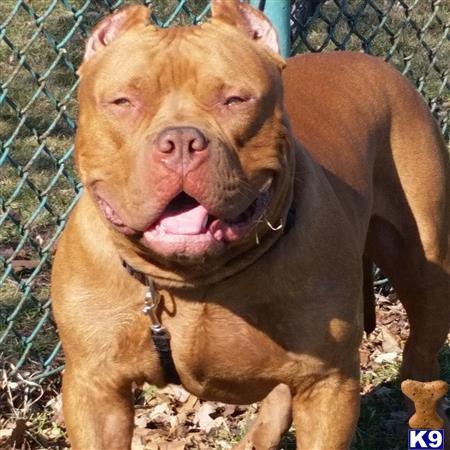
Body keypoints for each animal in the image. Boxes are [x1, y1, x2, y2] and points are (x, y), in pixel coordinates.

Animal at [52, 1, 450, 448]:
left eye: (235, 100)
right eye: (122, 101)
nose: (181, 142)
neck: (194, 280)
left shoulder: (329, 385)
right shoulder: (96, 389)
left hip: (425, 268)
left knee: (421, 352)